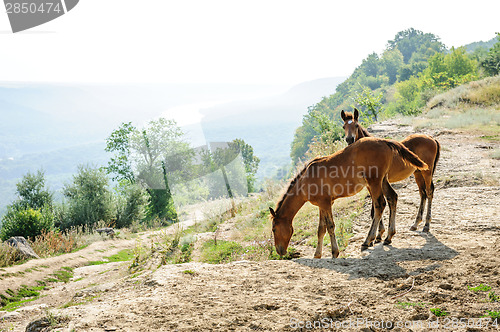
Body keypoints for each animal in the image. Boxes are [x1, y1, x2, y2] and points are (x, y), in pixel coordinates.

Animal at [270, 136, 426, 258]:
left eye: (274, 229)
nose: (280, 251)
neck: (306, 180)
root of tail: (383, 141)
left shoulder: (325, 204)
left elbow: (330, 226)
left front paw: (334, 252)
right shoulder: (323, 204)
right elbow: (321, 229)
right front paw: (317, 255)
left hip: (374, 182)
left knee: (379, 205)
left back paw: (368, 240)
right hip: (382, 180)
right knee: (392, 198)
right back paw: (389, 236)